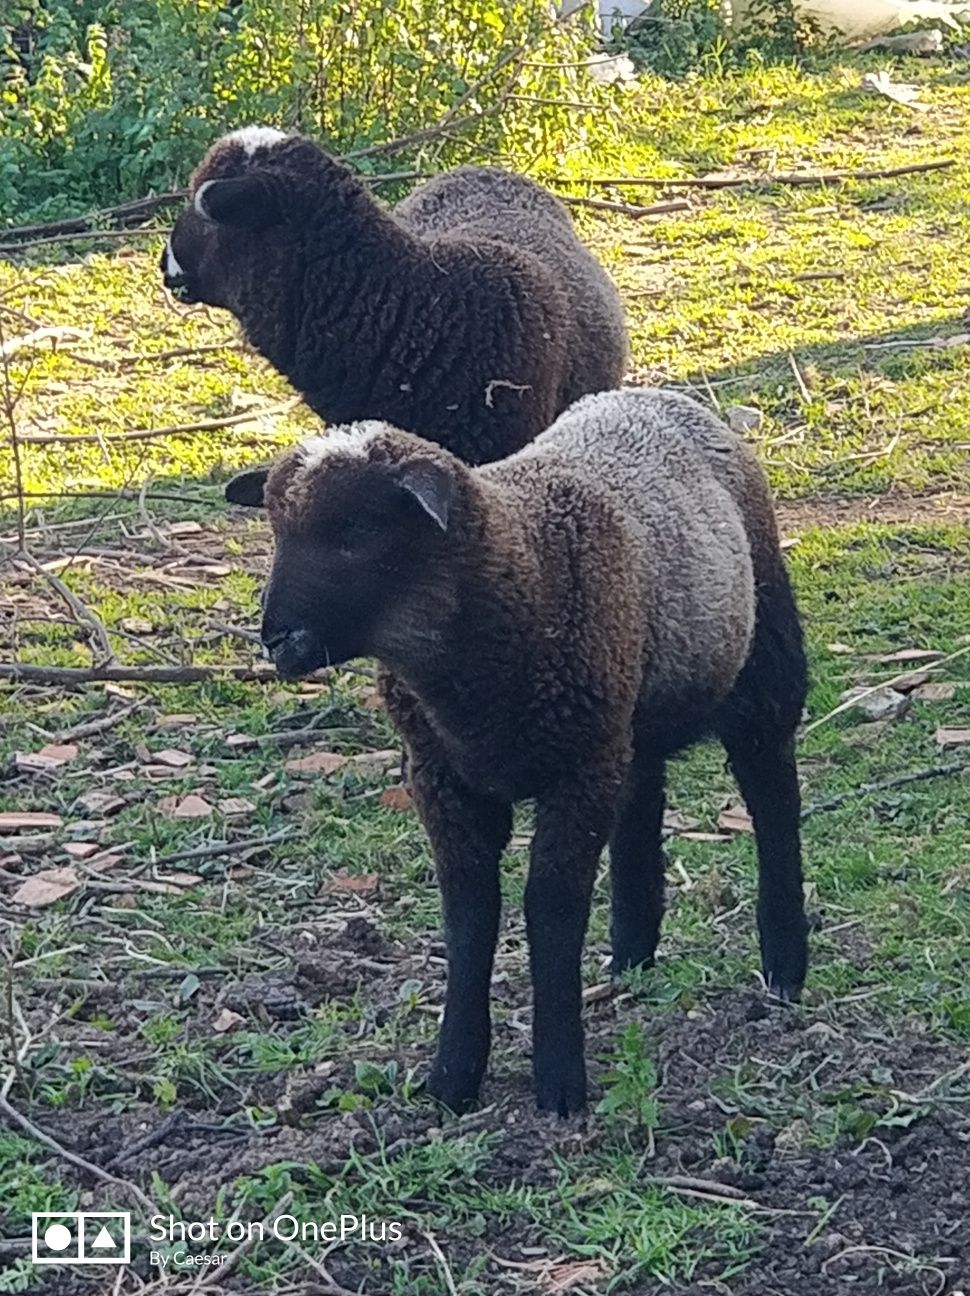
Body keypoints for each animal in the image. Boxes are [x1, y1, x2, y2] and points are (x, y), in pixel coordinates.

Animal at [223, 383, 809, 1114]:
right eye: (275, 530)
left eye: (355, 531)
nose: (277, 639)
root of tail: (657, 395)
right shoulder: (443, 777)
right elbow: (470, 914)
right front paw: (452, 1077)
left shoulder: (574, 772)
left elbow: (551, 911)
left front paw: (559, 1080)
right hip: (627, 710)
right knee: (642, 801)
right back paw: (632, 956)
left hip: (761, 662)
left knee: (772, 796)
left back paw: (784, 963)